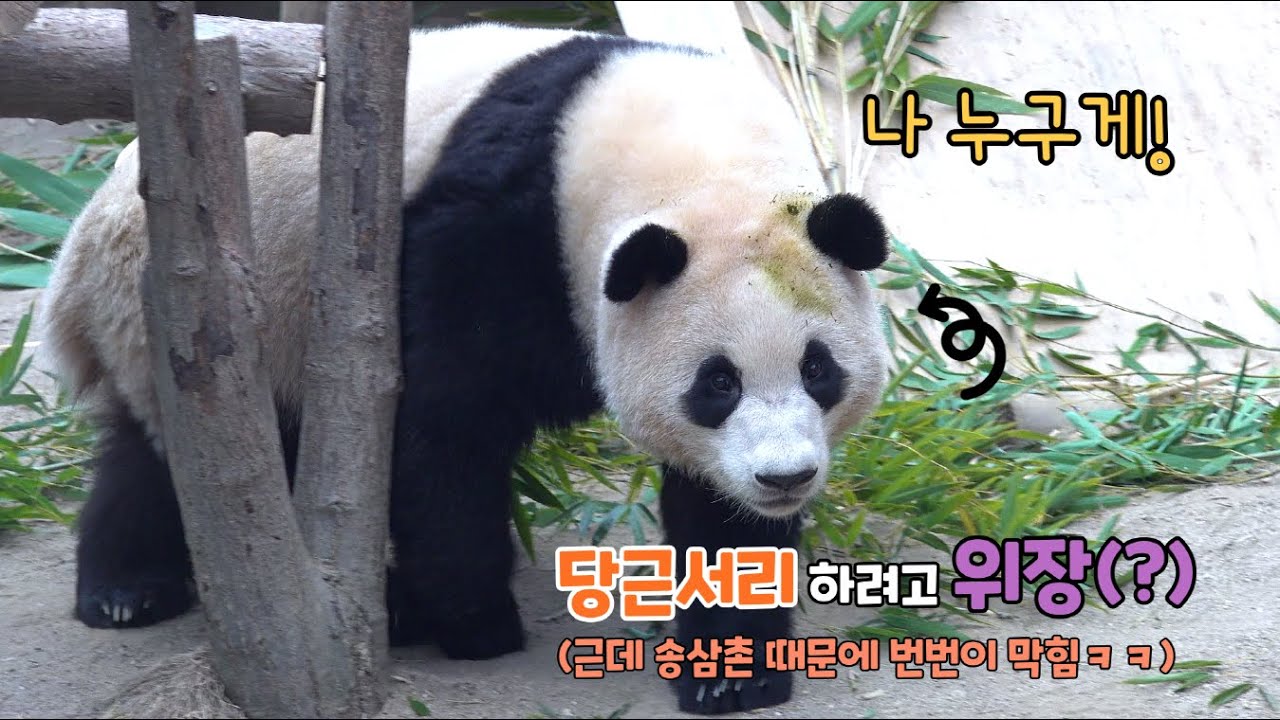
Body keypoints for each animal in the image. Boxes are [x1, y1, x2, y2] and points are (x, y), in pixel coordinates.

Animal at [37, 22, 891, 715]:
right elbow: (441, 421)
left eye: (820, 372)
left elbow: (713, 506)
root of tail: (89, 217)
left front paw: (732, 669)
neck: (693, 161)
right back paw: (130, 589)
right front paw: (472, 619)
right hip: (194, 299)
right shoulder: (502, 232)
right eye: (718, 383)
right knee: (195, 452)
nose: (785, 478)